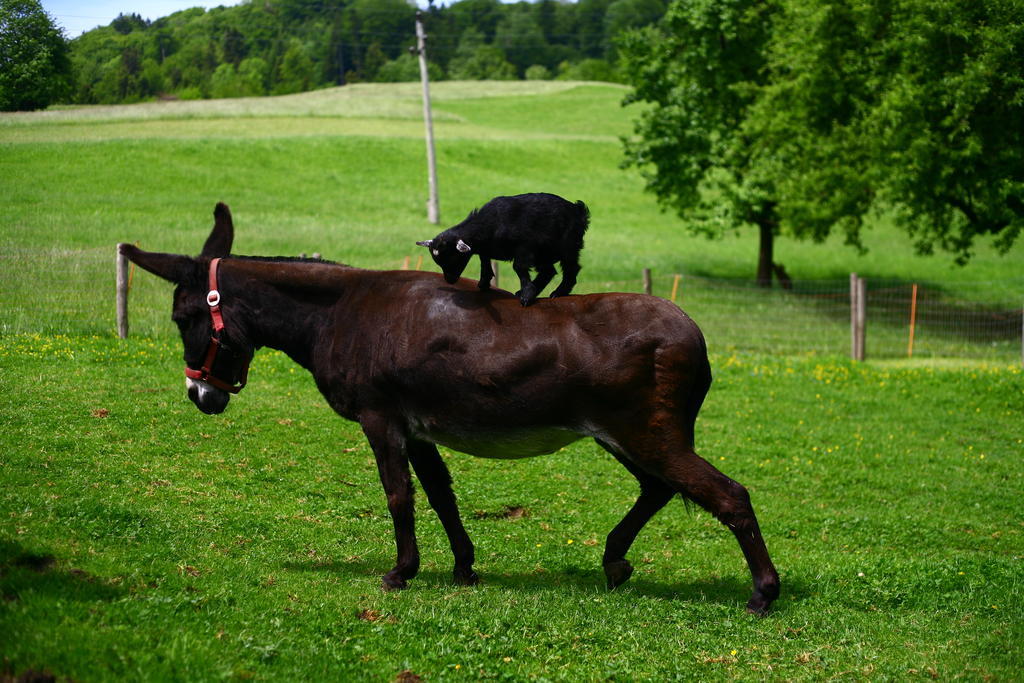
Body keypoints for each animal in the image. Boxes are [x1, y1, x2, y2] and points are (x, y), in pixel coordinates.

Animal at [417, 193, 593, 309]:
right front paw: (484, 282)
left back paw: (558, 292)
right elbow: (484, 259)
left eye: (453, 257)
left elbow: (518, 267)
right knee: (548, 272)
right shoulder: (486, 248)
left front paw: (527, 295)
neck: (491, 224)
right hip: (544, 255)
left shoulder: (525, 247)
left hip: (568, 247)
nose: (450, 280)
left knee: (571, 269)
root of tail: (578, 210)